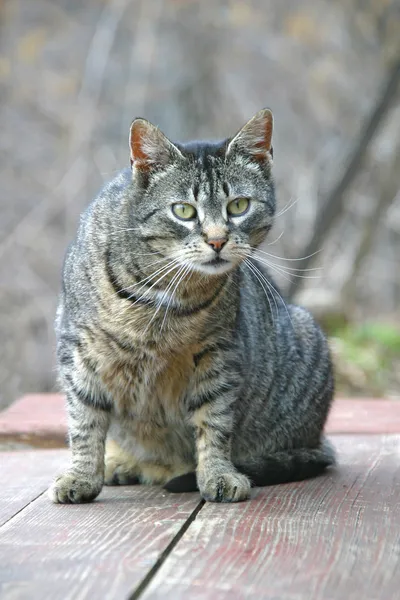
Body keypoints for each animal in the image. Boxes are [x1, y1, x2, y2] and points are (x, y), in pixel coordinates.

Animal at [47, 109, 334, 506]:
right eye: (183, 211)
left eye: (238, 206)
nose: (217, 240)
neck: (161, 297)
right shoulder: (78, 350)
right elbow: (84, 422)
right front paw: (81, 476)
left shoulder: (219, 354)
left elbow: (214, 422)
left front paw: (217, 474)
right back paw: (122, 463)